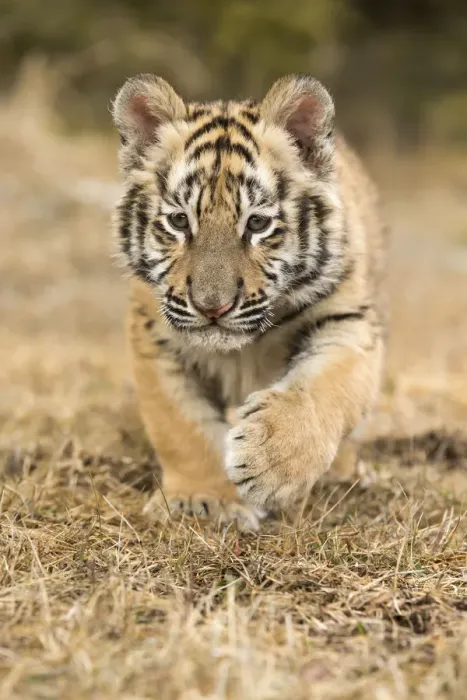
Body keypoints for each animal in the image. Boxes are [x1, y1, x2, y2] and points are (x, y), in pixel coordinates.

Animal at [111, 73, 387, 530]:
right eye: (179, 221)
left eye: (257, 224)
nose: (212, 307)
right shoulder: (154, 336)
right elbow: (179, 424)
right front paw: (204, 498)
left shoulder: (348, 320)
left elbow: (324, 389)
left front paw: (271, 462)